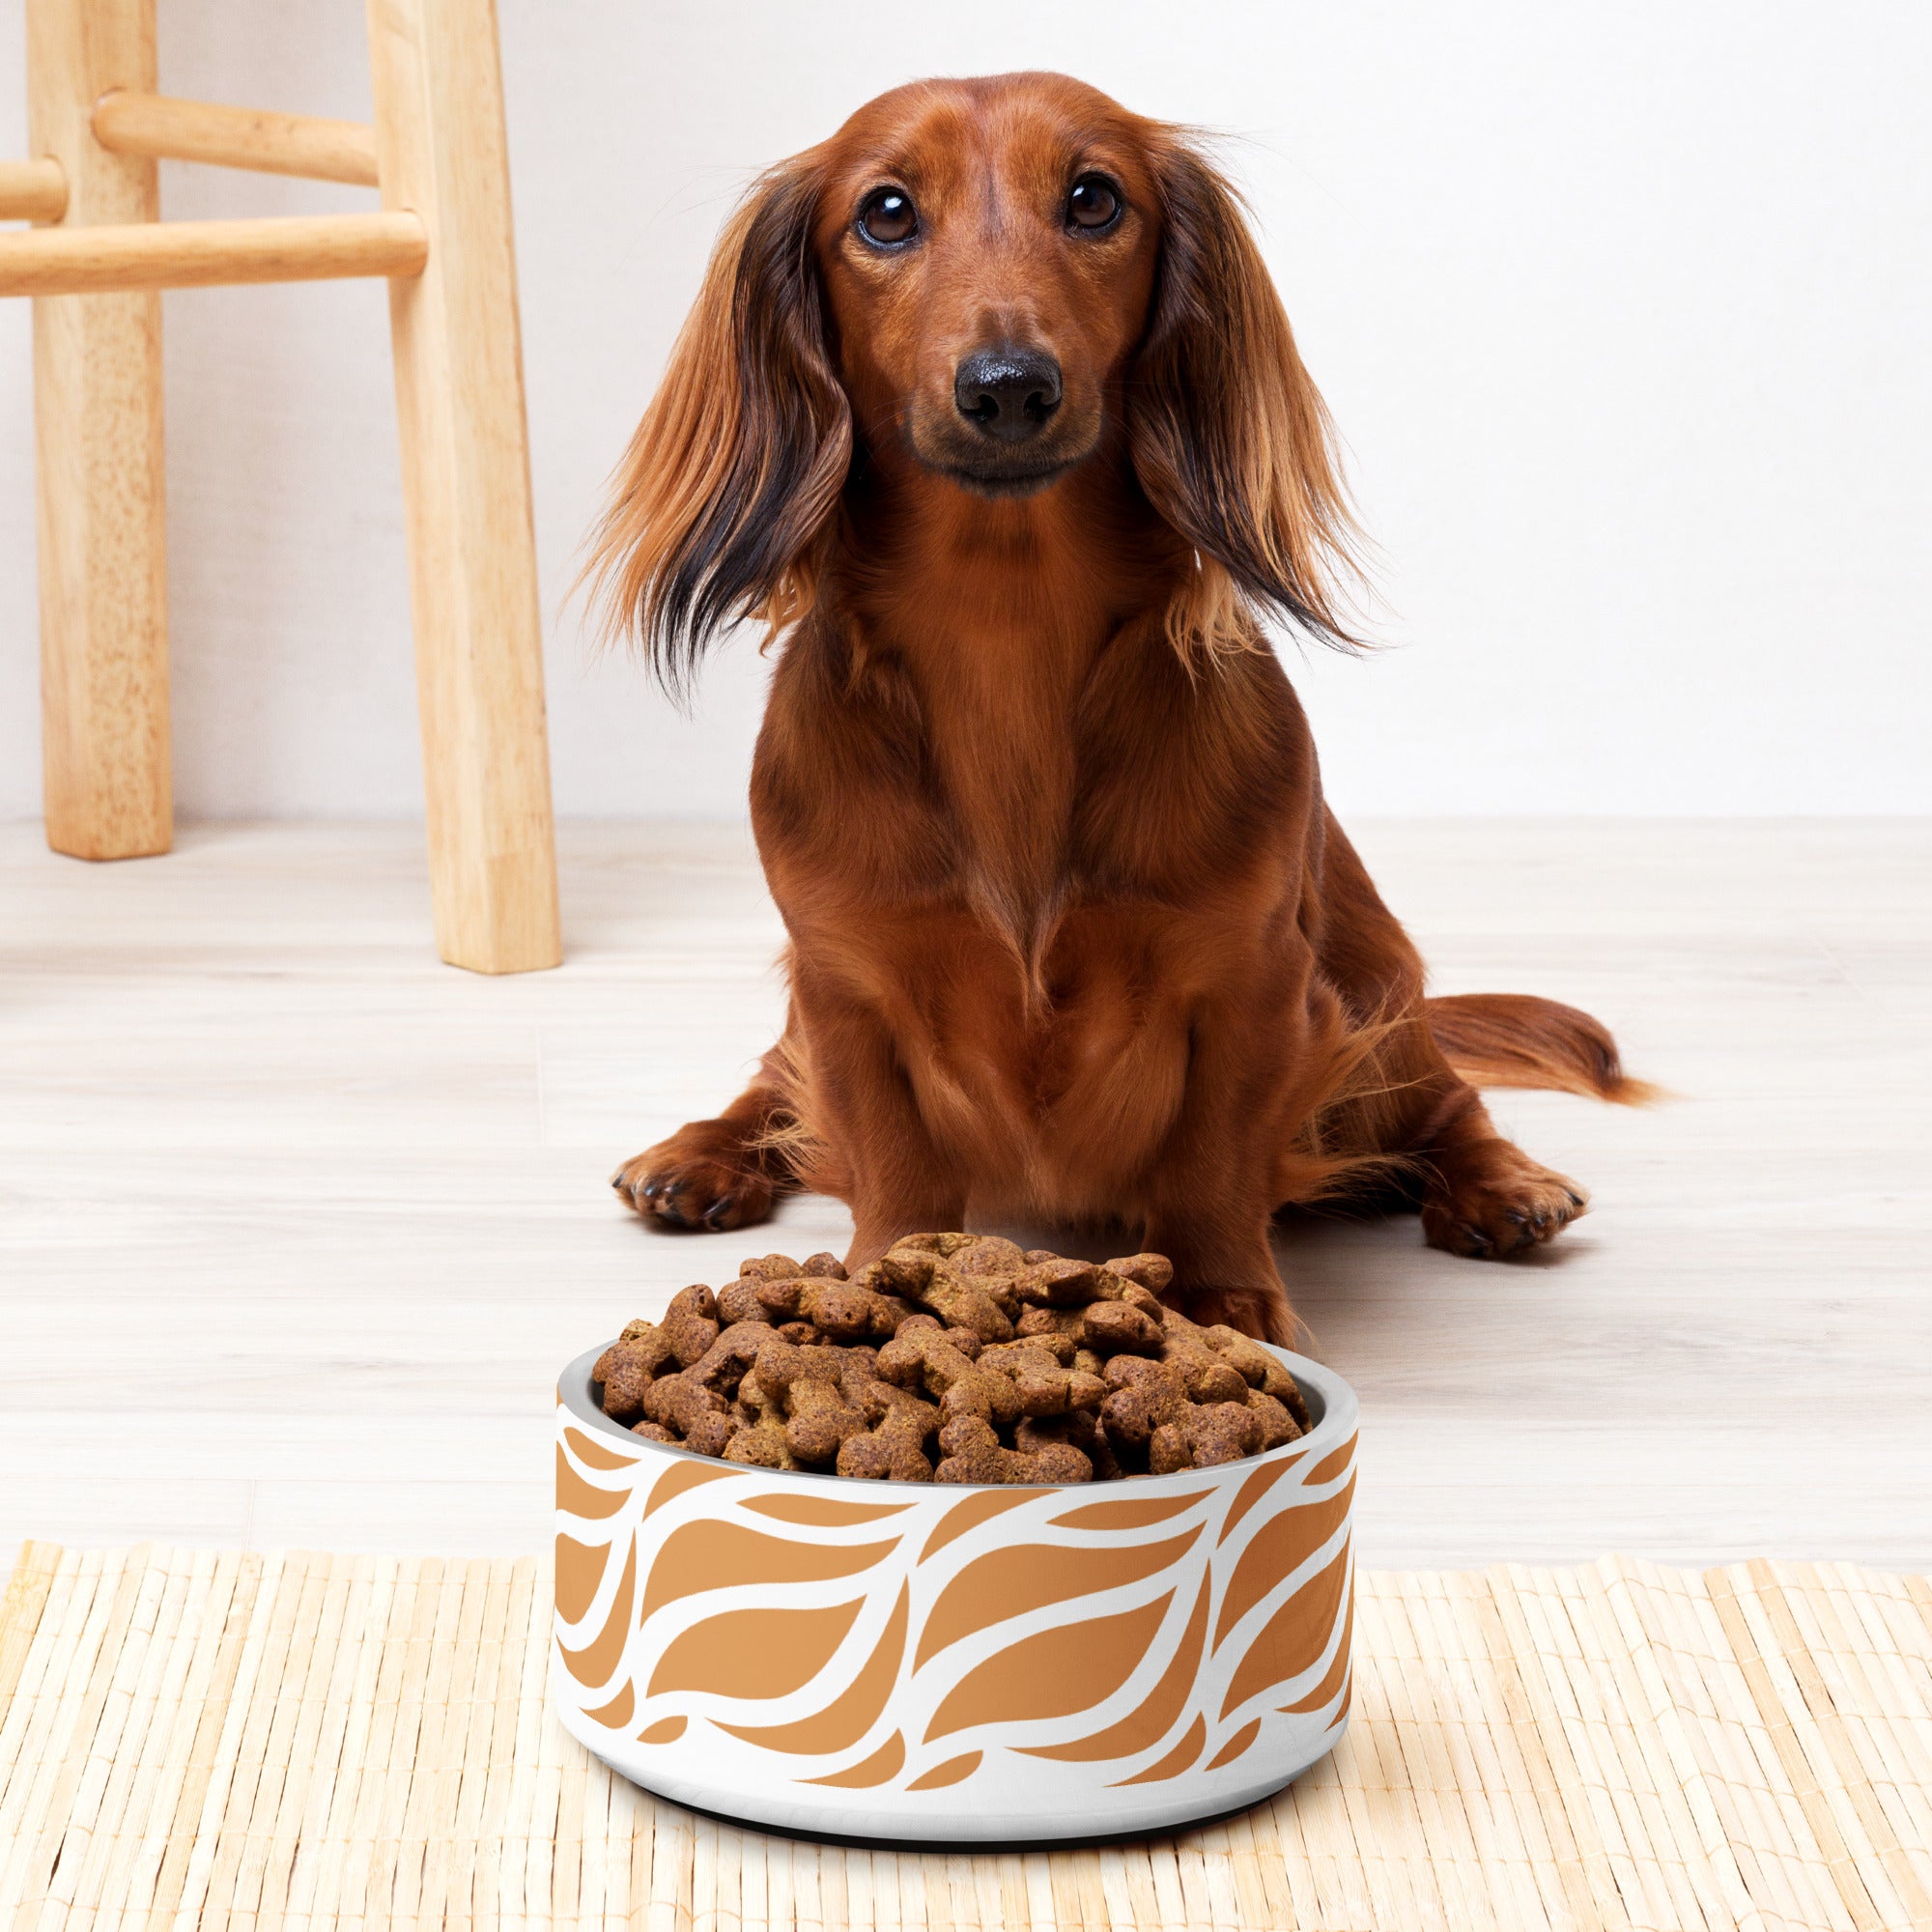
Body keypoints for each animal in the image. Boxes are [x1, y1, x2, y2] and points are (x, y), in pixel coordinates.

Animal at [587, 75, 1646, 1345]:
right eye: (884, 212)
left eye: (1093, 198)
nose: (1007, 387)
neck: (1005, 633)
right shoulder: (845, 982)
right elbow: (888, 1156)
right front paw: (884, 1281)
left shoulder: (1251, 980)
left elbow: (1210, 1158)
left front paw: (1224, 1298)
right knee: (770, 1084)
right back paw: (699, 1154)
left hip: (1374, 995)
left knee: (1446, 1100)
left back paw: (1501, 1184)